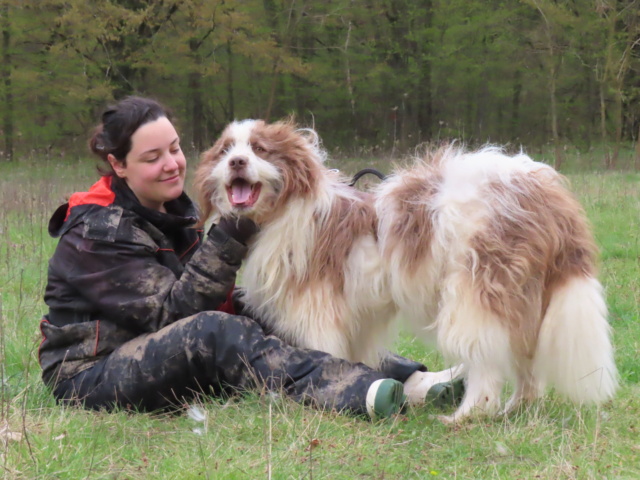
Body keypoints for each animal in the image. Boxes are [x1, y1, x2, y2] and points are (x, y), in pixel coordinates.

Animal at [194, 119, 616, 420]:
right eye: (226, 150)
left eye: (260, 149)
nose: (236, 162)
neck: (286, 210)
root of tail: (547, 197)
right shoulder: (354, 320)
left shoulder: (317, 309)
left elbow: (322, 352)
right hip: (522, 298)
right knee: (525, 358)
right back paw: (517, 407)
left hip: (475, 294)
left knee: (485, 361)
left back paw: (469, 414)